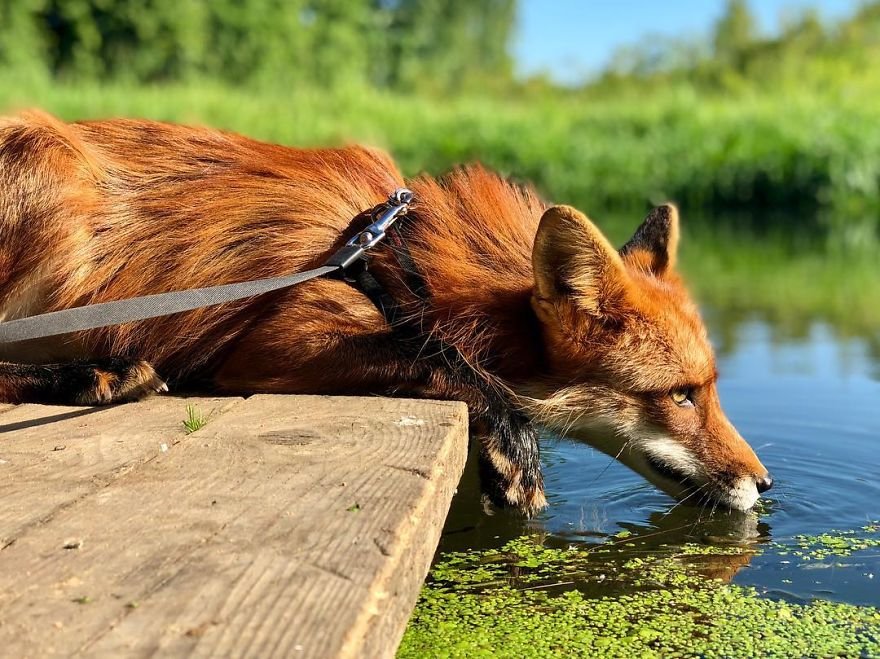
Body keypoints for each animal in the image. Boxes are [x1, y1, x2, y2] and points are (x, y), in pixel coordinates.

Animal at [0, 111, 768, 516]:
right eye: (681, 395)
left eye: (711, 390)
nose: (765, 484)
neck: (402, 261)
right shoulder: (279, 341)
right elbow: (444, 358)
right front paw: (514, 446)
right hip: (50, 164)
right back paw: (94, 374)